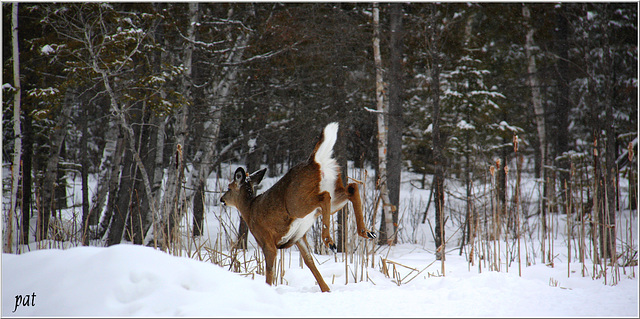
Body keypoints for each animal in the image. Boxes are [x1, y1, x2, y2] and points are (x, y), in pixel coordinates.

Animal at [222, 122, 378, 292]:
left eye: (229, 188)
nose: (222, 199)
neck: (249, 210)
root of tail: (313, 161)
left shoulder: (266, 240)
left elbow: (270, 270)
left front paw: (268, 289)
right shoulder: (298, 237)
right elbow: (309, 262)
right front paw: (326, 289)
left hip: (297, 204)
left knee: (325, 196)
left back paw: (329, 240)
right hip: (333, 194)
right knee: (352, 188)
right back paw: (366, 232)